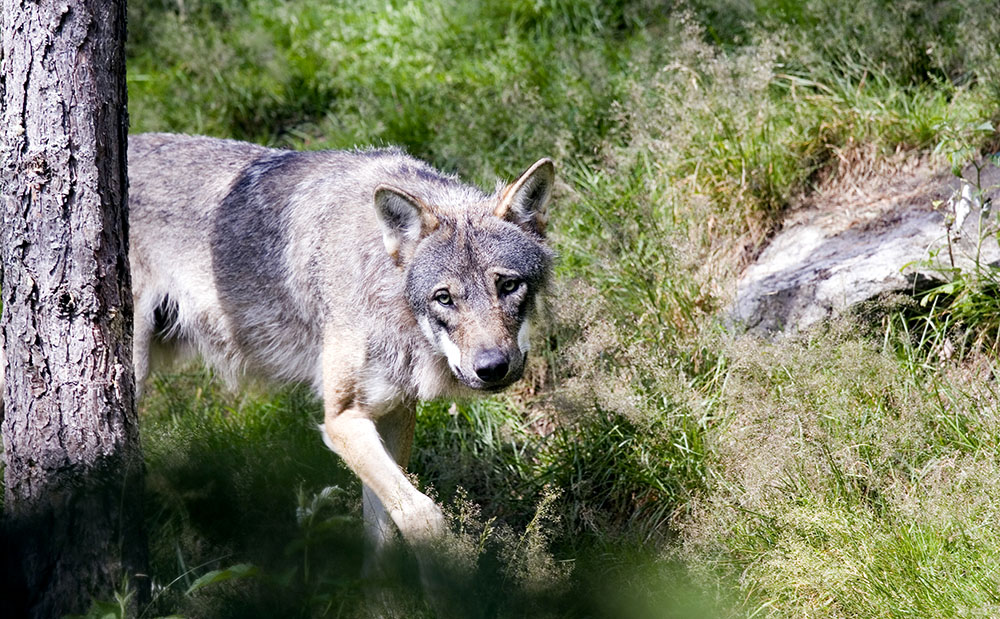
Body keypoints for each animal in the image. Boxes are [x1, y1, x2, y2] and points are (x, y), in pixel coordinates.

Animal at [125, 133, 556, 584]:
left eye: (508, 286)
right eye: (444, 298)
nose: (492, 368)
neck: (383, 285)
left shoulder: (394, 412)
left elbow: (382, 523)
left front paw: (379, 591)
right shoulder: (342, 420)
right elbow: (421, 515)